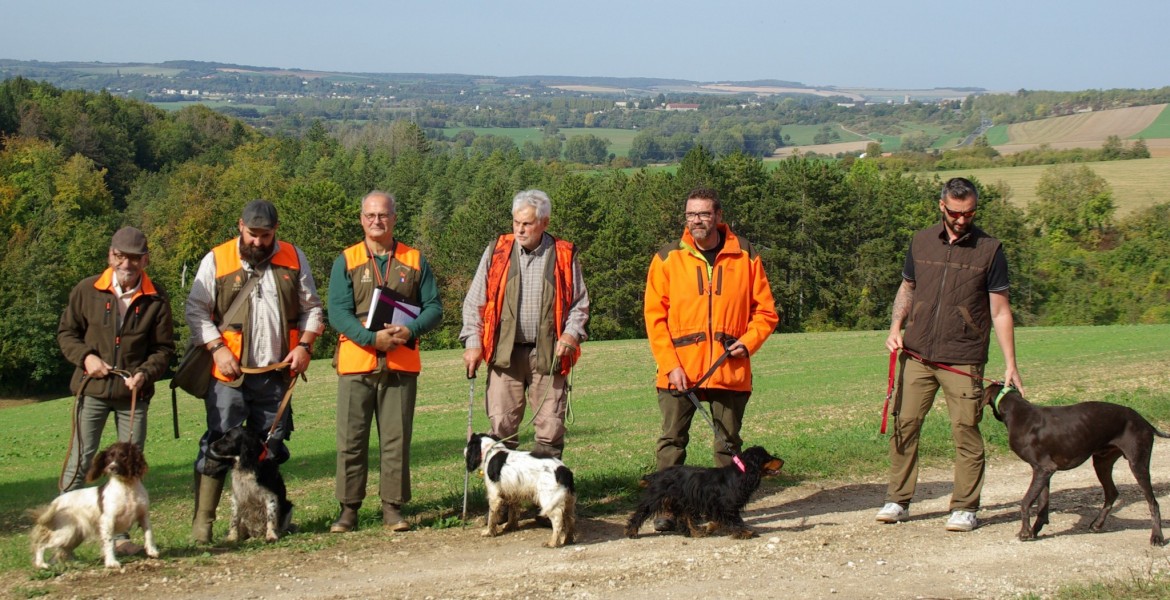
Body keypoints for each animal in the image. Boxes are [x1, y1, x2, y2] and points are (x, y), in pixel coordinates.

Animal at [29, 439, 159, 566]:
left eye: (123, 456)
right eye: (109, 457)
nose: (111, 468)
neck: (127, 487)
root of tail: (56, 502)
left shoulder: (143, 515)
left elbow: (149, 533)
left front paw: (152, 551)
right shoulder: (108, 520)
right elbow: (109, 542)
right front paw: (111, 562)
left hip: (75, 535)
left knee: (61, 551)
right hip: (66, 532)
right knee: (42, 544)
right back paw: (41, 564)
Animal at [982, 383, 1165, 542]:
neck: (1018, 412)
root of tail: (1145, 422)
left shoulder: (1043, 468)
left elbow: (1026, 502)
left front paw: (1025, 532)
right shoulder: (1044, 472)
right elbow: (1042, 506)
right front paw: (1034, 530)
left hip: (1137, 463)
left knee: (1153, 503)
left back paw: (1157, 537)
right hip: (1102, 462)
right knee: (1112, 493)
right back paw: (1097, 524)